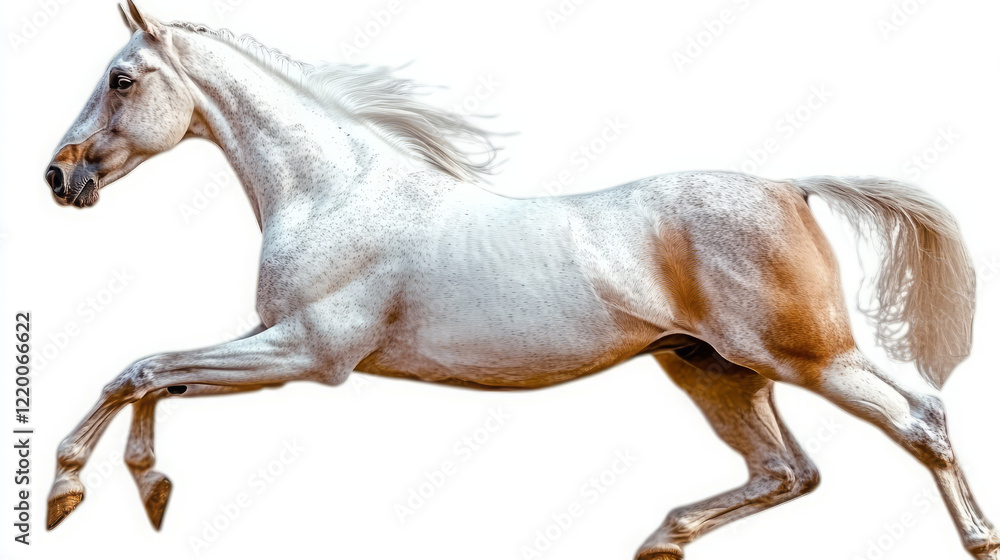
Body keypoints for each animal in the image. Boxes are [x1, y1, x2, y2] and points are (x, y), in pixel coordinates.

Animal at [44, 3, 996, 559]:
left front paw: (68, 492)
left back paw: (980, 541)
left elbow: (142, 370)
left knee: (921, 419)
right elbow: (150, 377)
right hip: (713, 369)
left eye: (121, 79)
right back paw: (662, 537)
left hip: (808, 357)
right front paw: (148, 492)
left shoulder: (306, 354)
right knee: (788, 472)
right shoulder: (271, 341)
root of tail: (790, 186)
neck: (334, 190)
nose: (59, 177)